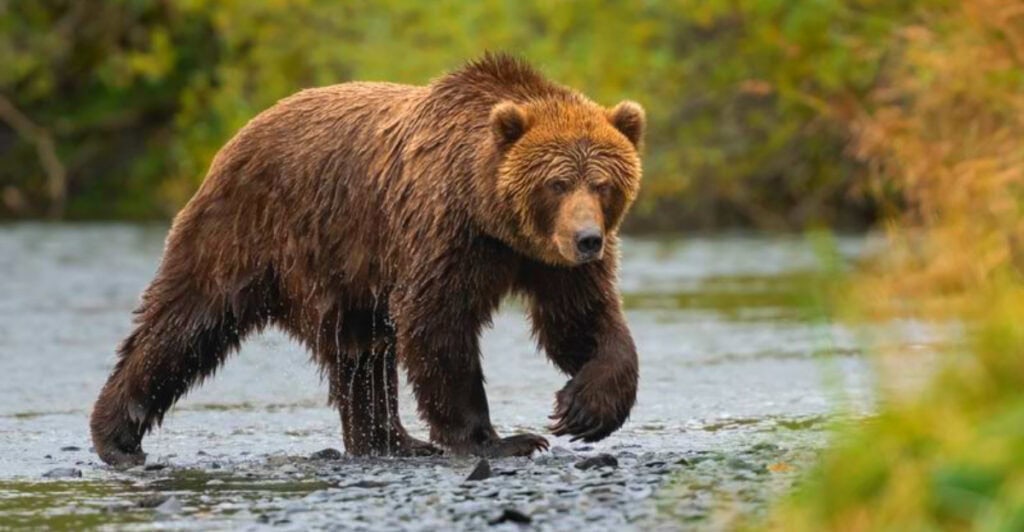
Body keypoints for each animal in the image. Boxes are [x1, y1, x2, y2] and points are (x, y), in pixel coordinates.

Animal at [90, 53, 644, 466]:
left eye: (602, 183)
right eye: (557, 182)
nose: (587, 239)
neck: (493, 216)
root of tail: (238, 136)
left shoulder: (548, 263)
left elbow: (579, 321)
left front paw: (584, 409)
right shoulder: (442, 234)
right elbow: (437, 324)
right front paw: (502, 439)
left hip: (343, 276)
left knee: (360, 354)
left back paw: (393, 441)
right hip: (248, 231)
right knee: (186, 323)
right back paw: (117, 435)